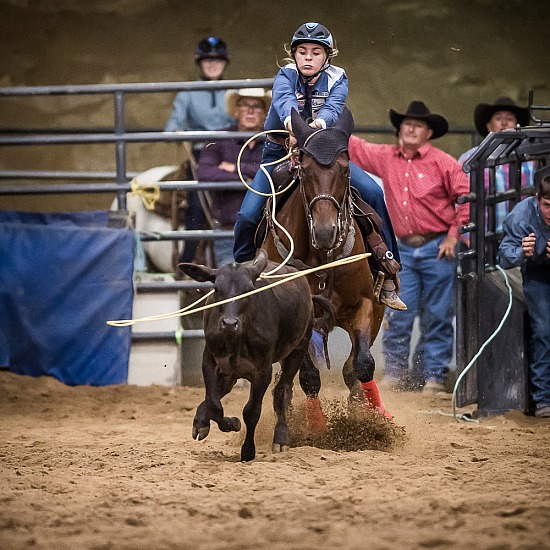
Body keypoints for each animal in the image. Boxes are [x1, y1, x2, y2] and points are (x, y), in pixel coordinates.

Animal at [260, 108, 390, 426]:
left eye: (345, 169)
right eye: (305, 169)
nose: (324, 231)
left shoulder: (365, 304)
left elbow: (362, 365)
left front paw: (370, 418)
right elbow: (309, 376)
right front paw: (316, 425)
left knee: (352, 368)